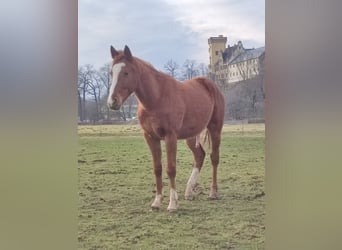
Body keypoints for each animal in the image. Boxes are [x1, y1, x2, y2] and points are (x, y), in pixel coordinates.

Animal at [107, 45, 224, 211]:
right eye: (111, 73)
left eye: (126, 72)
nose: (112, 102)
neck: (156, 98)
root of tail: (210, 84)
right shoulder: (150, 137)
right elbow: (157, 168)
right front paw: (156, 202)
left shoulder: (170, 137)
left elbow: (171, 168)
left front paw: (172, 204)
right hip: (191, 136)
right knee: (199, 156)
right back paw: (189, 191)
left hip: (215, 130)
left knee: (214, 158)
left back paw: (213, 192)